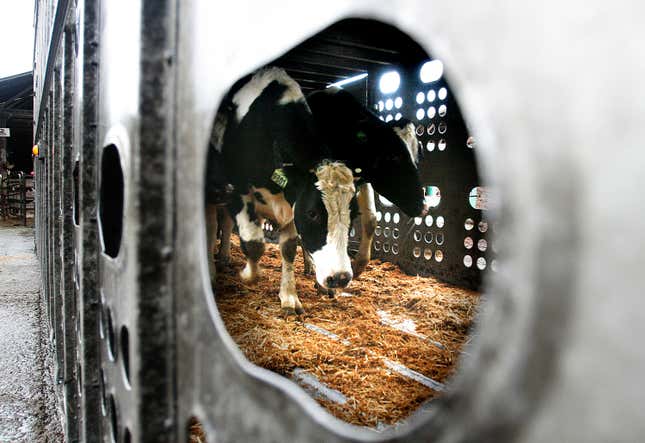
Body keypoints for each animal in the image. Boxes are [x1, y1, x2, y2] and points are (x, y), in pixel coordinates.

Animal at [205, 67, 358, 316]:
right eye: (312, 213)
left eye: (352, 214)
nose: (341, 278)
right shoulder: (237, 192)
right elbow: (254, 244)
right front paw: (248, 275)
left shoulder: (291, 203)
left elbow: (288, 249)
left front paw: (289, 297)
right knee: (212, 227)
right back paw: (212, 268)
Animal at [306, 86, 428, 278]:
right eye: (392, 156)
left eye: (419, 154)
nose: (424, 207)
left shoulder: (362, 180)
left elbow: (370, 220)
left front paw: (358, 266)